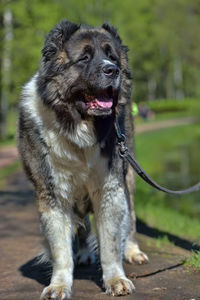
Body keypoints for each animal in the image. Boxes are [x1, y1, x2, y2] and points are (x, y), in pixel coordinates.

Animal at [17, 19, 148, 298]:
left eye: (112, 56)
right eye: (84, 58)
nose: (112, 70)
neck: (77, 126)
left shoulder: (110, 187)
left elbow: (110, 242)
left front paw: (115, 279)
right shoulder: (52, 193)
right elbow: (60, 250)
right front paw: (59, 285)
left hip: (129, 174)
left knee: (130, 218)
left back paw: (133, 251)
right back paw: (85, 253)